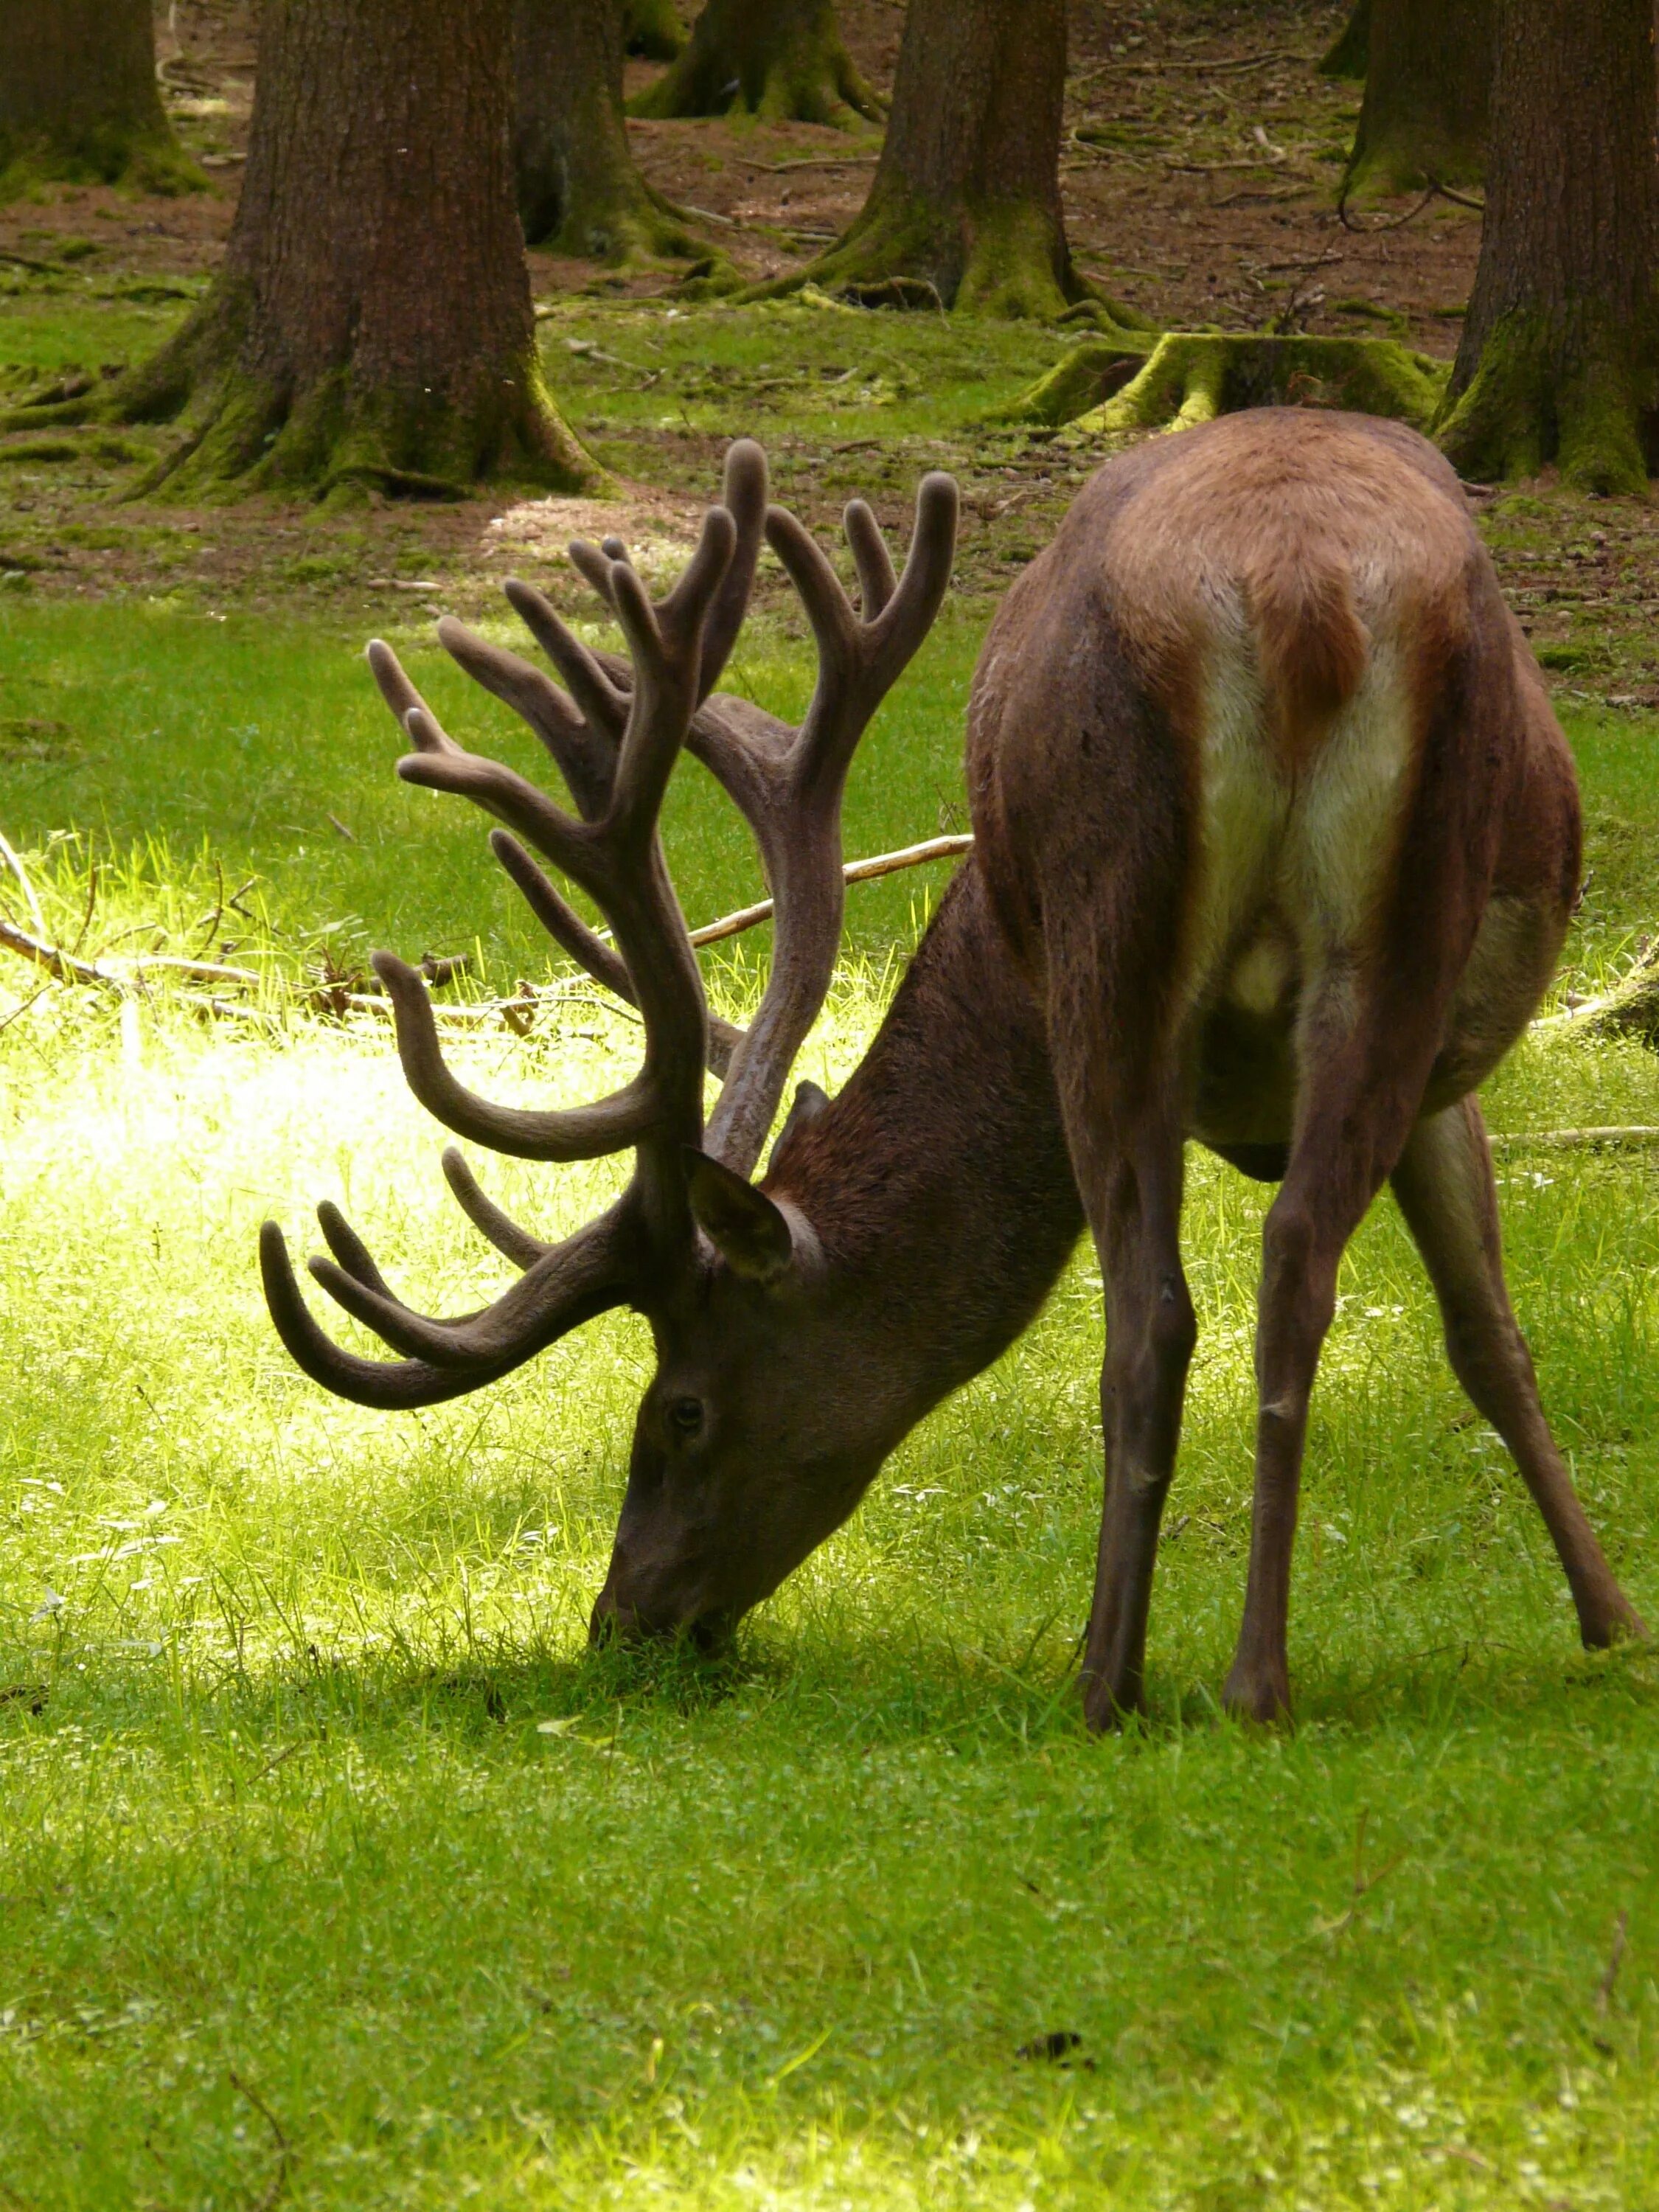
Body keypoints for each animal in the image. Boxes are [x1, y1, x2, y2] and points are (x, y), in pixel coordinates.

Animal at [266, 416, 1646, 1725]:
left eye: (682, 1408)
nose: (623, 1621)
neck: (990, 948)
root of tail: (1294, 593)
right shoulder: (1442, 1074)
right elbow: (1487, 1332)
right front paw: (1614, 1622)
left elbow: (1475, 1328)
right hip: (1365, 947)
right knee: (1281, 1264)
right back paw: (1242, 1680)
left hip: (1118, 941)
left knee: (1158, 1310)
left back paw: (1111, 1680)